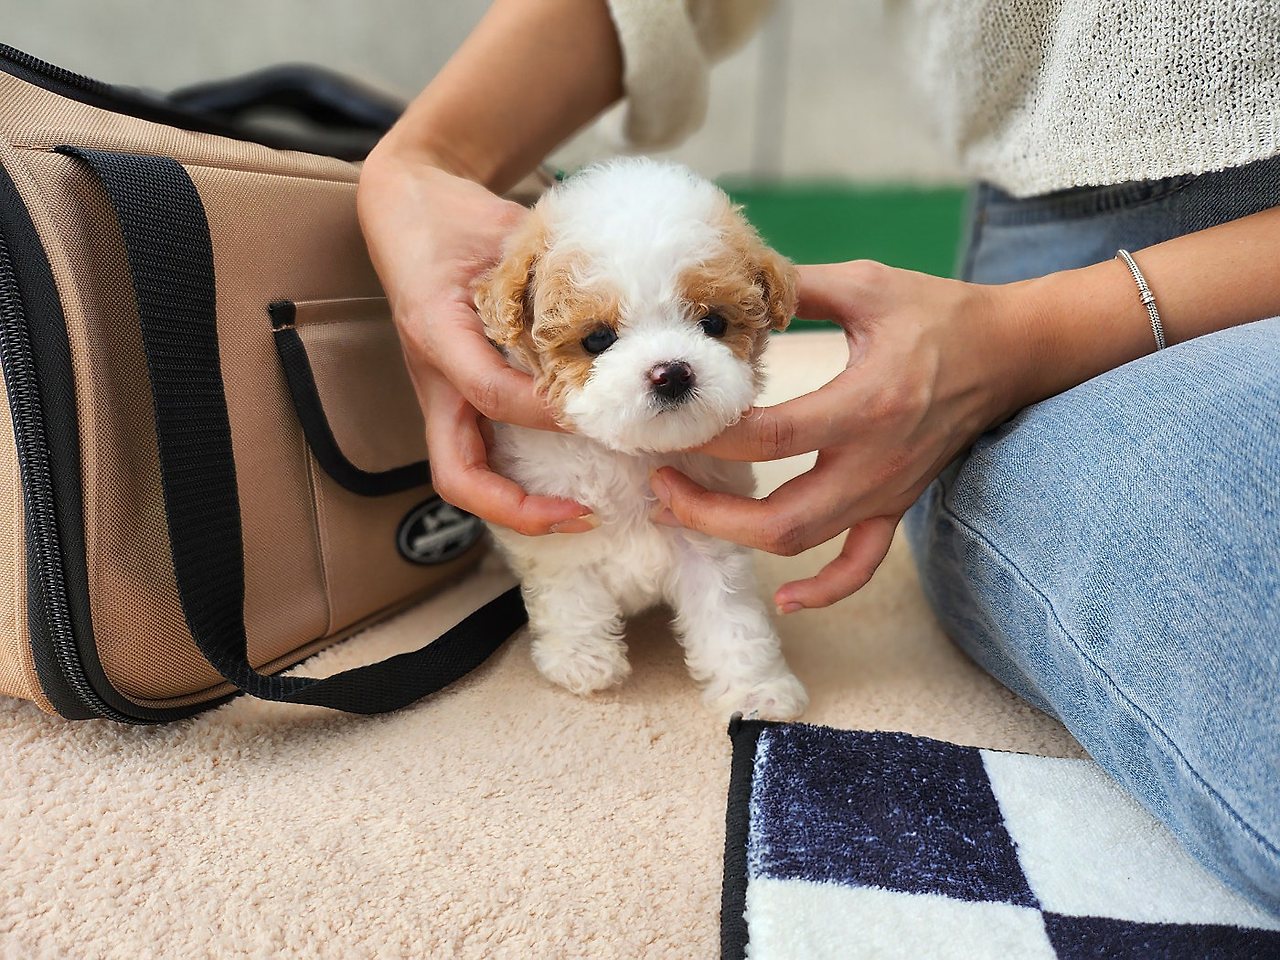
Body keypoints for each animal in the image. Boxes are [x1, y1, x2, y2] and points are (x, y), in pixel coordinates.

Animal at [473, 158, 808, 721]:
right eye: (596, 339)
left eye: (713, 323)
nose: (672, 372)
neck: (631, 456)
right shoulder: (555, 524)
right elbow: (570, 591)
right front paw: (583, 659)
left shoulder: (708, 539)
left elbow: (731, 619)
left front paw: (757, 689)